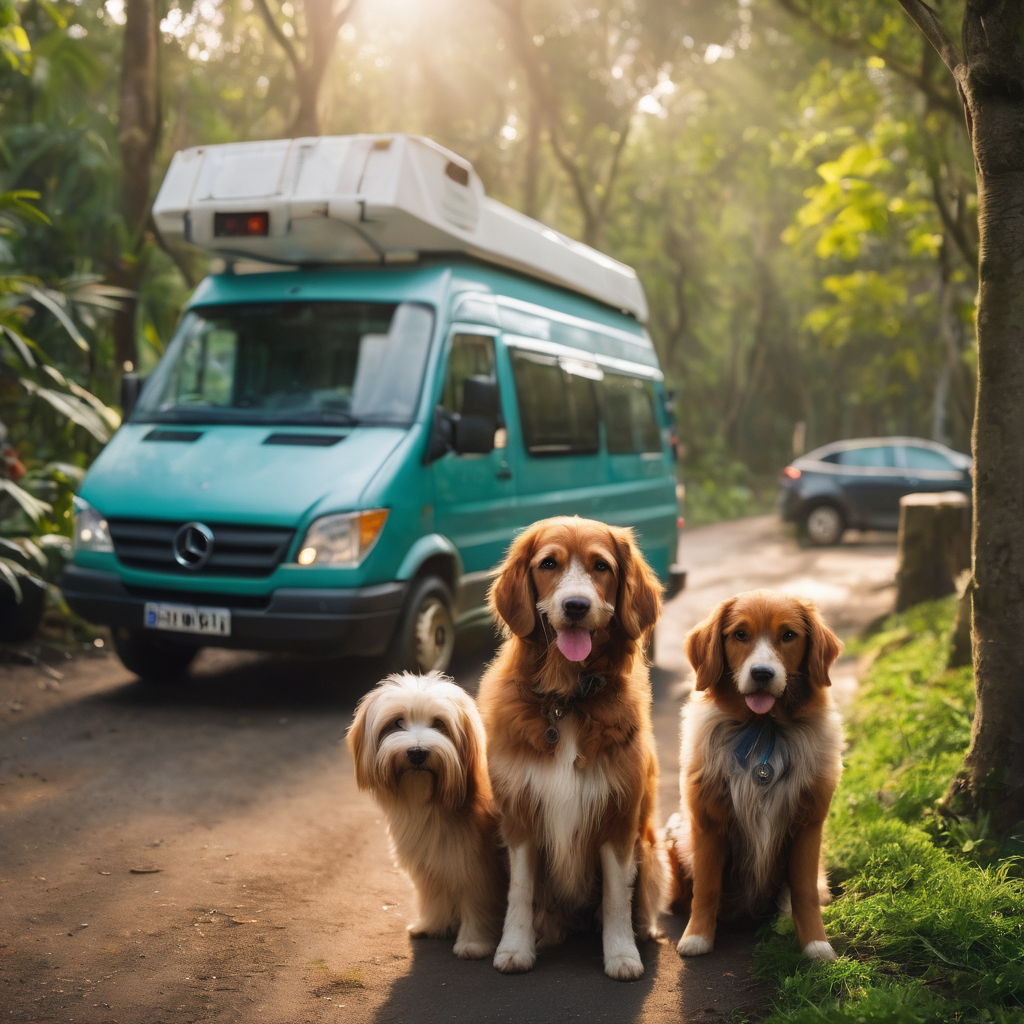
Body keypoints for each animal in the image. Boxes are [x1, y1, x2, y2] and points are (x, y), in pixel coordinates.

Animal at [348, 671, 507, 958]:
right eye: (398, 722)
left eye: (439, 724)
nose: (417, 753)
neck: (433, 805)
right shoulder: (431, 864)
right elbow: (433, 895)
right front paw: (431, 925)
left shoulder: (476, 866)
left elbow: (476, 902)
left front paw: (473, 943)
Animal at [475, 516, 667, 978]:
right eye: (548, 563)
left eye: (601, 566)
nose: (576, 606)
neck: (567, 701)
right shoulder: (520, 816)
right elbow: (520, 890)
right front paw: (515, 947)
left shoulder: (620, 817)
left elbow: (617, 896)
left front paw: (621, 954)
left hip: (650, 847)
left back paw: (646, 929)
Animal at [667, 593, 843, 958]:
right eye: (740, 635)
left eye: (788, 635)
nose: (762, 673)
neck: (763, 730)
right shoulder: (707, 823)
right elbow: (706, 887)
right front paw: (697, 937)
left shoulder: (808, 826)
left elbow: (805, 893)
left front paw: (817, 945)